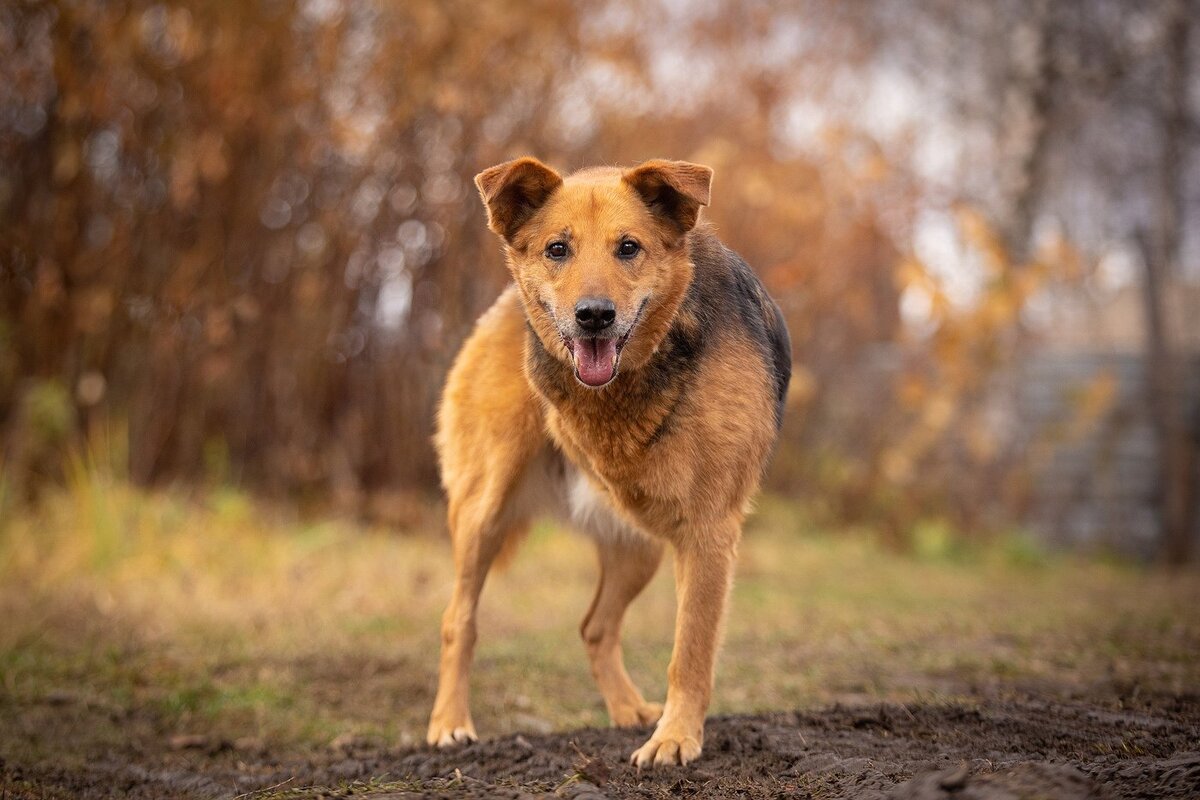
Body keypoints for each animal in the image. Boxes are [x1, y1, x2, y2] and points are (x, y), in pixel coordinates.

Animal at [427, 158, 792, 767]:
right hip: (485, 511)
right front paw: (677, 739)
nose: (594, 316)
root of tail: (500, 308)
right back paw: (450, 723)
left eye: (629, 247)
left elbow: (690, 648)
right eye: (557, 249)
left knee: (594, 628)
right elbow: (689, 649)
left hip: (638, 546)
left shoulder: (709, 530)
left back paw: (626, 711)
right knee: (459, 620)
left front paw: (672, 736)